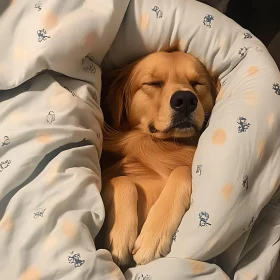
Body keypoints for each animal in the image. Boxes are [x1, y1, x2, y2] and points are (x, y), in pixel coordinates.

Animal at [98, 46, 219, 266]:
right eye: (153, 83)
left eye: (197, 83)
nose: (185, 100)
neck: (164, 145)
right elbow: (122, 181)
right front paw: (119, 236)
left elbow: (183, 170)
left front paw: (153, 236)